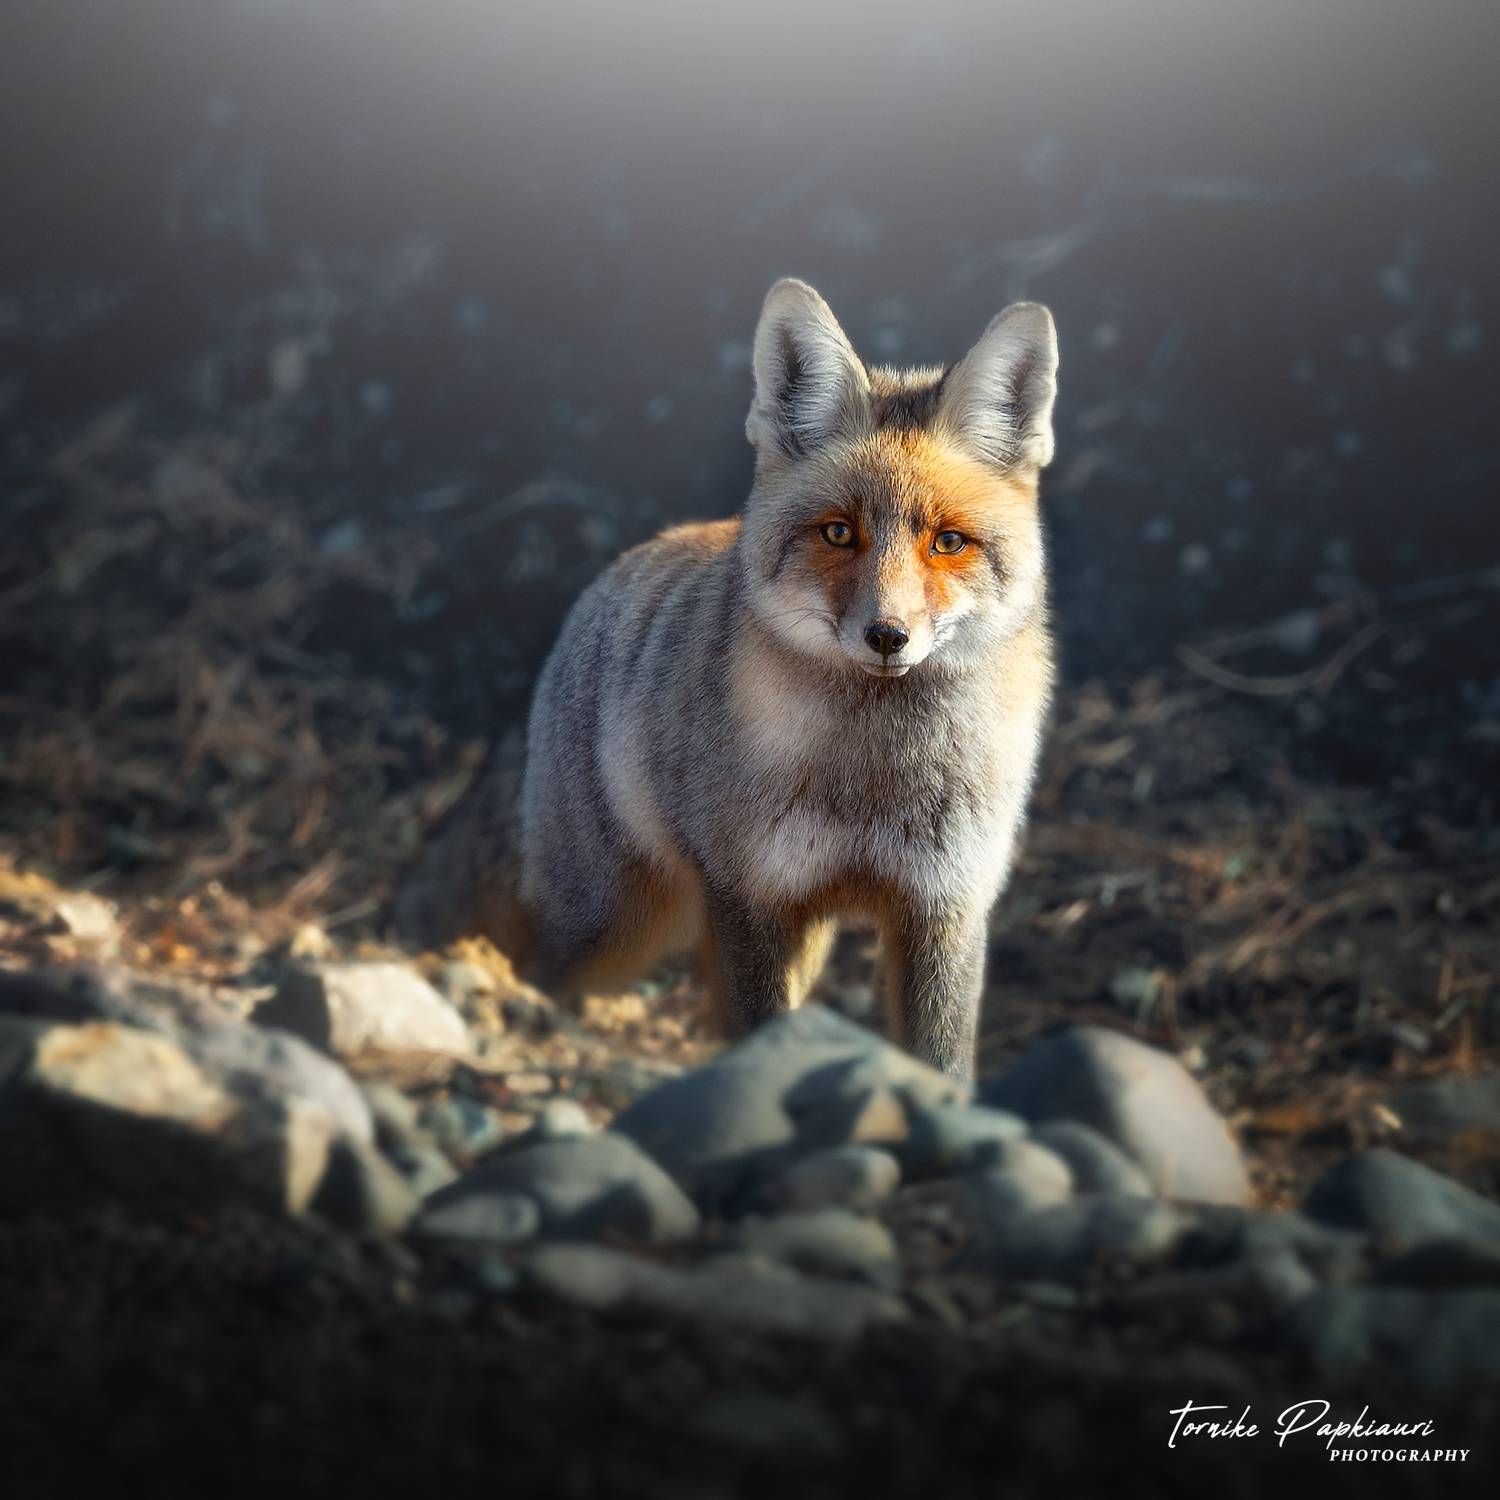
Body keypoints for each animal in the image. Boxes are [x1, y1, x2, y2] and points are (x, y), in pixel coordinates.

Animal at [394, 278, 1059, 1077]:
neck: (873, 779)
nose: (887, 636)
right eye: (840, 532)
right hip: (613, 926)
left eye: (948, 542)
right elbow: (760, 1032)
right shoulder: (751, 894)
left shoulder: (945, 904)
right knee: (549, 973)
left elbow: (943, 1065)